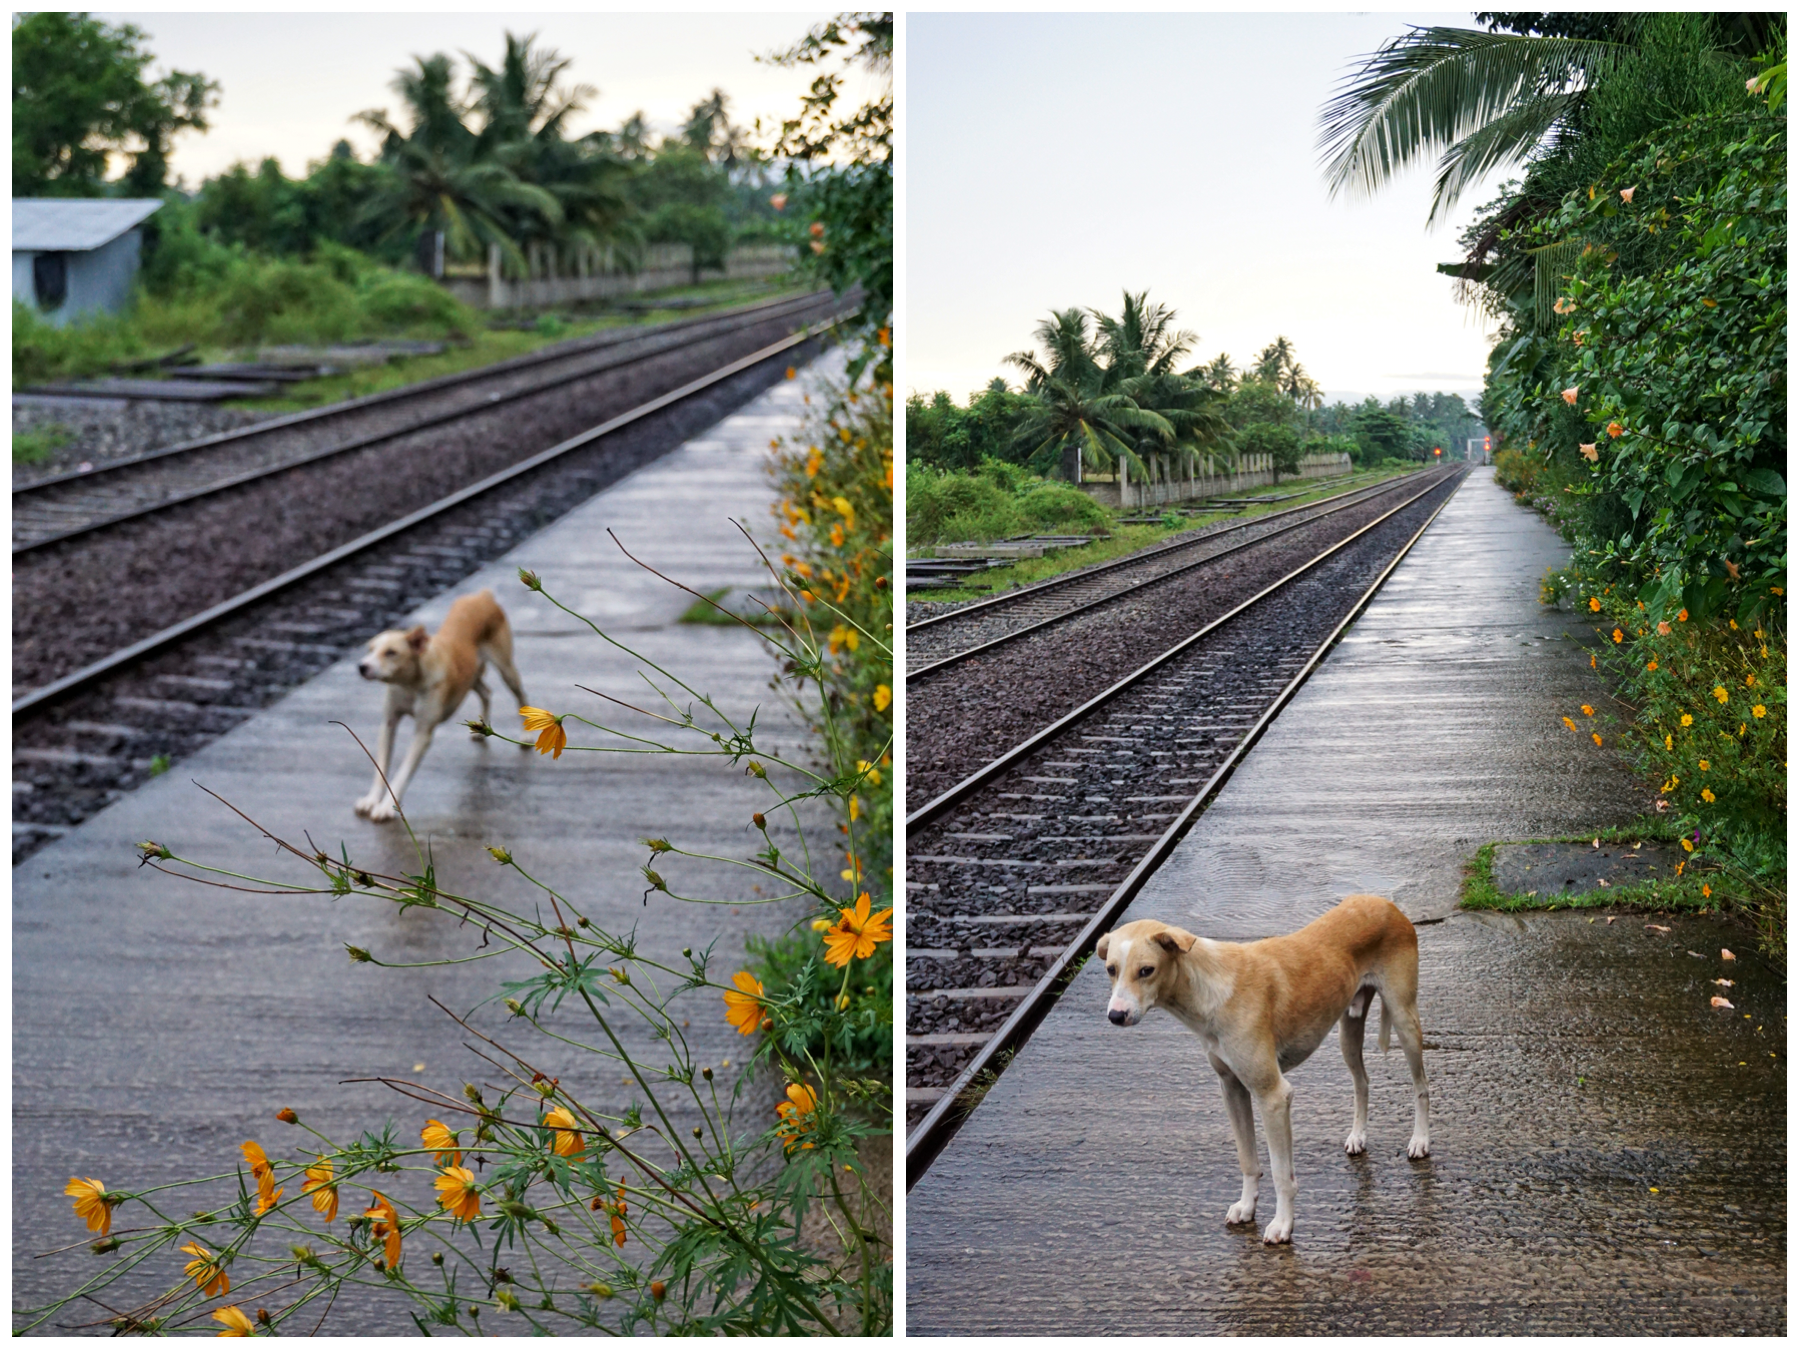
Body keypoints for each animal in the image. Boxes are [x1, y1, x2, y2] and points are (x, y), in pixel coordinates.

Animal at [347, 586, 525, 820]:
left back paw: (526, 735)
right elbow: (381, 766)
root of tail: (482, 596)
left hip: (505, 668)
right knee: (486, 692)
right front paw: (371, 800)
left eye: (391, 652)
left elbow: (403, 772)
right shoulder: (388, 724)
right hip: (470, 678)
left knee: (520, 695)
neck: (410, 684)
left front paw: (386, 806)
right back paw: (483, 729)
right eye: (369, 649)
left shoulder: (422, 734)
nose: (361, 666)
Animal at [1094, 900, 1432, 1245]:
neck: (1211, 988)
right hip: (1347, 1032)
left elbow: (1281, 1173)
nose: (1116, 1015)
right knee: (1362, 1081)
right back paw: (1358, 1136)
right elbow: (1248, 1159)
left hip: (1404, 1019)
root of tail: (1384, 903)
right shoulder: (1232, 1089)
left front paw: (1282, 1224)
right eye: (1111, 969)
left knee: (1421, 1085)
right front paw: (1246, 1207)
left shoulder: (1273, 1096)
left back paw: (1420, 1140)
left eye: (1146, 970)